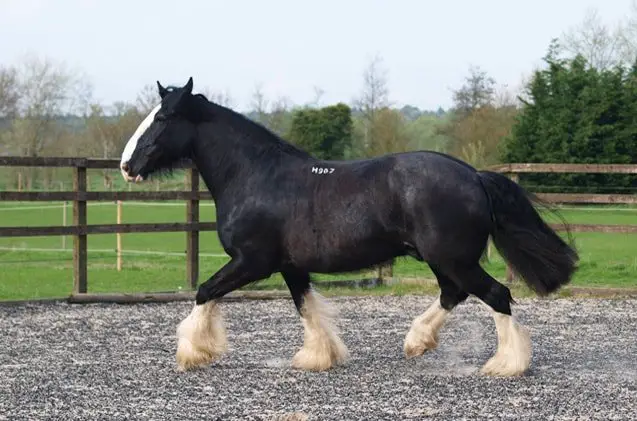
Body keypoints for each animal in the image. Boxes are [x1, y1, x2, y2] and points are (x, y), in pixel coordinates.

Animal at [118, 77, 576, 376]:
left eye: (163, 118)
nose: (126, 166)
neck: (257, 176)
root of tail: (474, 176)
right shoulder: (290, 267)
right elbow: (306, 308)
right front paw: (318, 357)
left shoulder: (252, 262)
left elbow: (204, 291)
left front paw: (193, 353)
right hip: (444, 260)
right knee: (455, 294)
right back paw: (417, 342)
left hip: (453, 258)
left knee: (496, 295)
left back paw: (505, 364)